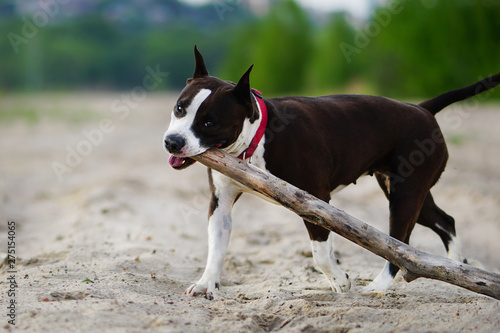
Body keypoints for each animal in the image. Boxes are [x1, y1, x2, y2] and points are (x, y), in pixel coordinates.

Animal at [165, 46, 500, 298]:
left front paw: (340, 280)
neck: (257, 136)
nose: (172, 142)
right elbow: (216, 247)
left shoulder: (314, 202)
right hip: (411, 190)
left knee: (400, 244)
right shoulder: (220, 203)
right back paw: (458, 266)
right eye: (180, 108)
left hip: (406, 194)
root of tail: (422, 109)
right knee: (446, 221)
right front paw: (206, 284)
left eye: (209, 122)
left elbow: (321, 253)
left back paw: (378, 287)